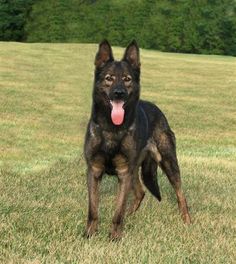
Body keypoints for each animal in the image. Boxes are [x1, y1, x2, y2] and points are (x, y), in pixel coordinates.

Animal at [84, 40, 191, 240]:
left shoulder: (124, 173)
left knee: (180, 194)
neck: (113, 129)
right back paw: (130, 215)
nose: (119, 93)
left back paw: (187, 221)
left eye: (127, 79)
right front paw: (89, 235)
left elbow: (117, 212)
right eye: (109, 78)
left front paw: (114, 237)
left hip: (168, 163)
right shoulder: (94, 171)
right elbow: (93, 210)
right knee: (140, 193)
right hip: (136, 170)